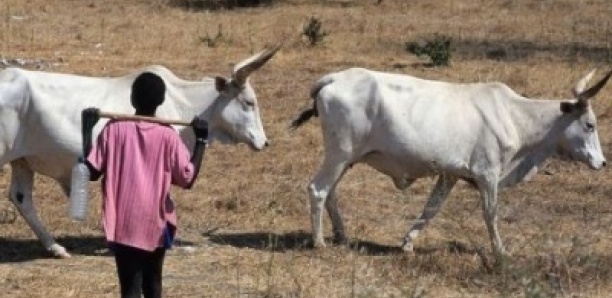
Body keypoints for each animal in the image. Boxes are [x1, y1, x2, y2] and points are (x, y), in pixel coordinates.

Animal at [0, 45, 280, 258]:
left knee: (21, 198)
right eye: (248, 102)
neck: (182, 102)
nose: (264, 142)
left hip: (21, 161)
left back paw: (55, 247)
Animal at [292, 67, 612, 260]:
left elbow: (431, 208)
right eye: (589, 125)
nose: (602, 162)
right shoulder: (488, 174)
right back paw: (319, 242)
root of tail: (333, 78)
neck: (515, 115)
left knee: (331, 192)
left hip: (345, 159)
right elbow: (490, 214)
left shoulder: (449, 175)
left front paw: (407, 243)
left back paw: (342, 236)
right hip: (340, 154)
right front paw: (501, 252)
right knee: (318, 189)